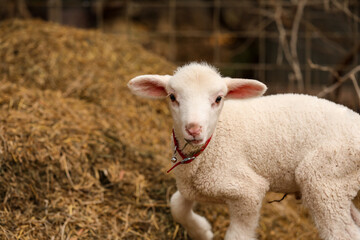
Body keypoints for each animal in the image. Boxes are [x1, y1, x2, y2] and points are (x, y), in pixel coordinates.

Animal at [126, 62, 360, 240]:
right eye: (172, 97)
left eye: (218, 98)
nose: (193, 129)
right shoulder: (193, 186)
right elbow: (177, 206)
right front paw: (202, 231)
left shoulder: (247, 191)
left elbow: (238, 234)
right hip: (339, 183)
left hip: (325, 178)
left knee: (342, 233)